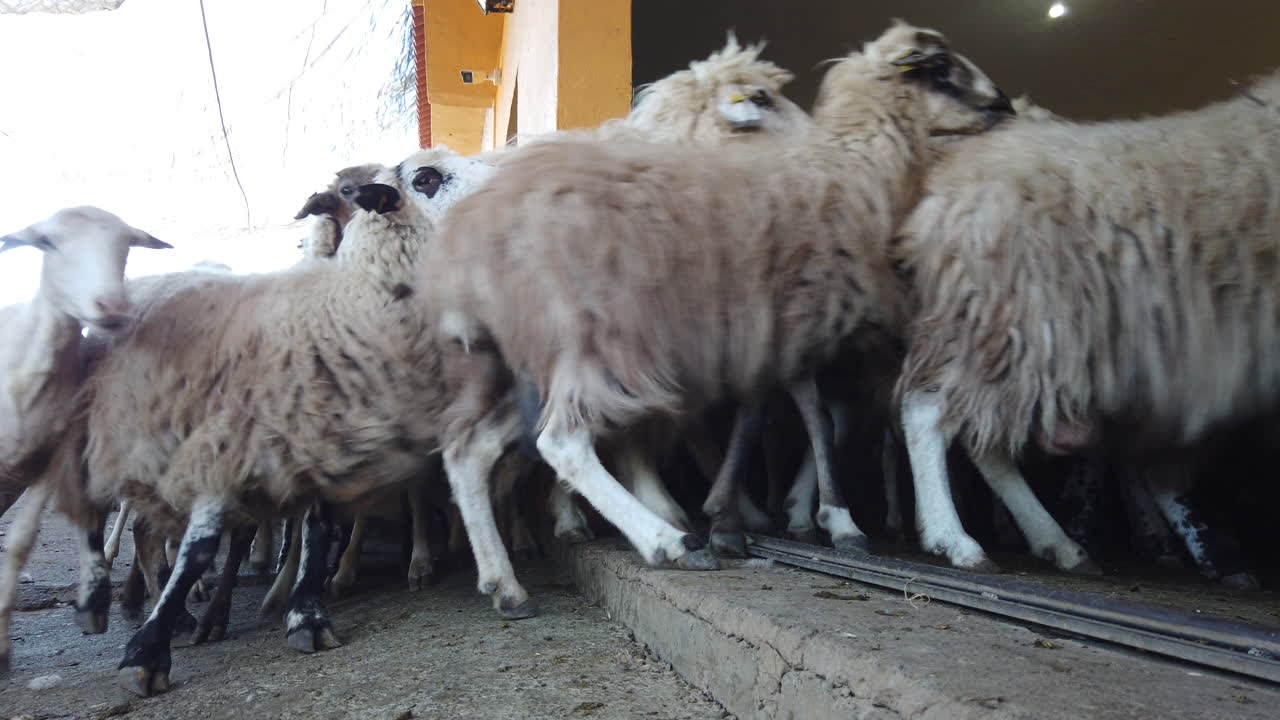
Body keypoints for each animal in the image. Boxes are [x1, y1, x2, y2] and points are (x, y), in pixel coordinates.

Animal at [422, 20, 1015, 615]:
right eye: (940, 67)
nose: (1003, 104)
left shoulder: (752, 335)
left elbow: (767, 416)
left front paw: (743, 514)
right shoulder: (768, 326)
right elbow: (790, 417)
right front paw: (779, 518)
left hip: (513, 366)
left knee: (470, 451)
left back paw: (506, 583)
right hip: (591, 342)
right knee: (561, 442)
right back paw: (665, 541)